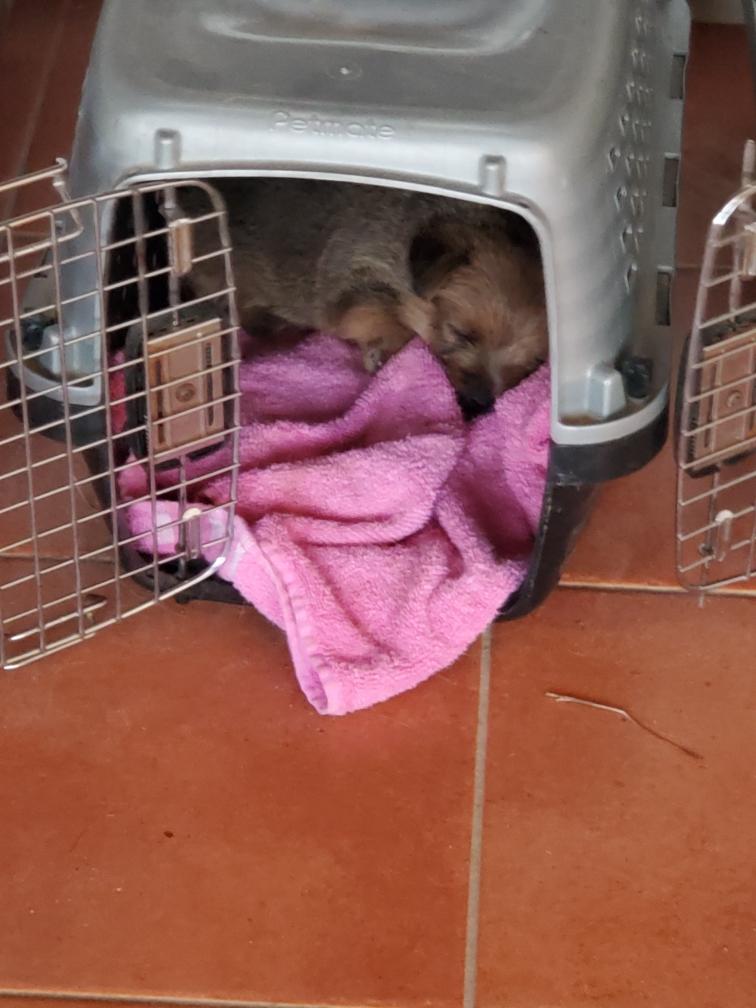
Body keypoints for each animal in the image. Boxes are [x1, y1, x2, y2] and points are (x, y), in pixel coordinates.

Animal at [181, 179, 547, 415]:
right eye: (458, 332)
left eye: (533, 364)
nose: (477, 404)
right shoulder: (352, 287)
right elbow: (391, 320)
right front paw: (381, 351)